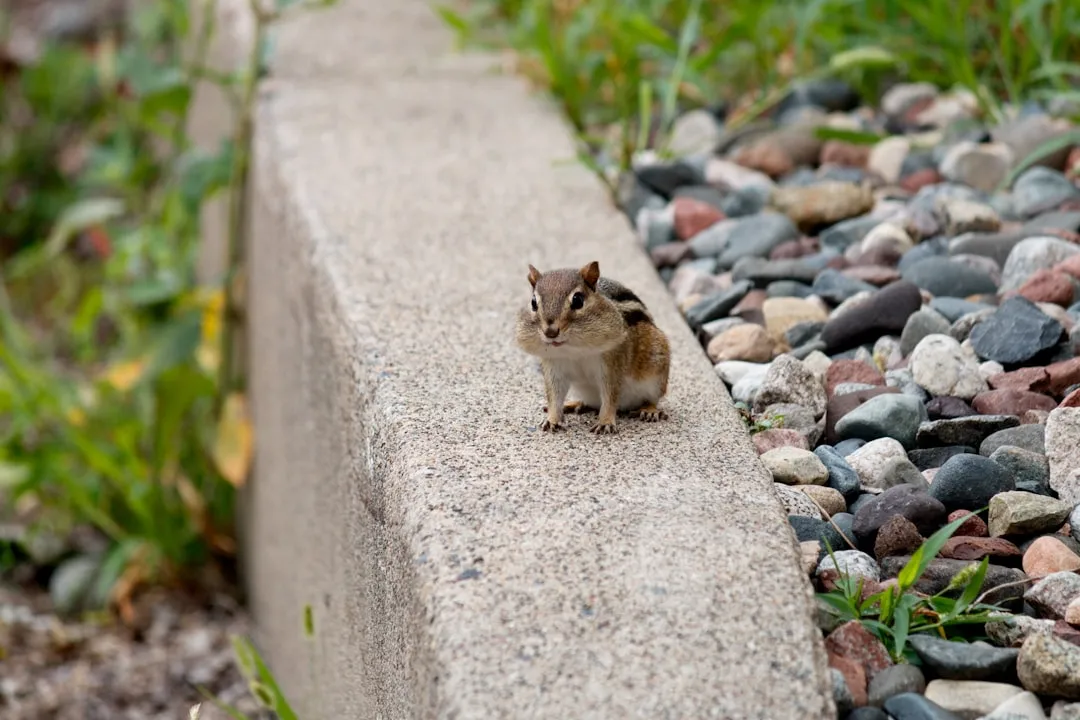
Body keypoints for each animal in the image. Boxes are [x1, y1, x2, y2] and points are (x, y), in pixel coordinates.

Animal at [514, 260, 671, 434]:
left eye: (578, 300)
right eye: (533, 302)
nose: (550, 332)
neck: (574, 349)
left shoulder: (611, 364)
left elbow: (610, 396)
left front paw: (605, 422)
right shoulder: (554, 365)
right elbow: (554, 396)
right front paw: (552, 419)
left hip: (656, 373)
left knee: (652, 398)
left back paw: (650, 410)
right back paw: (575, 404)